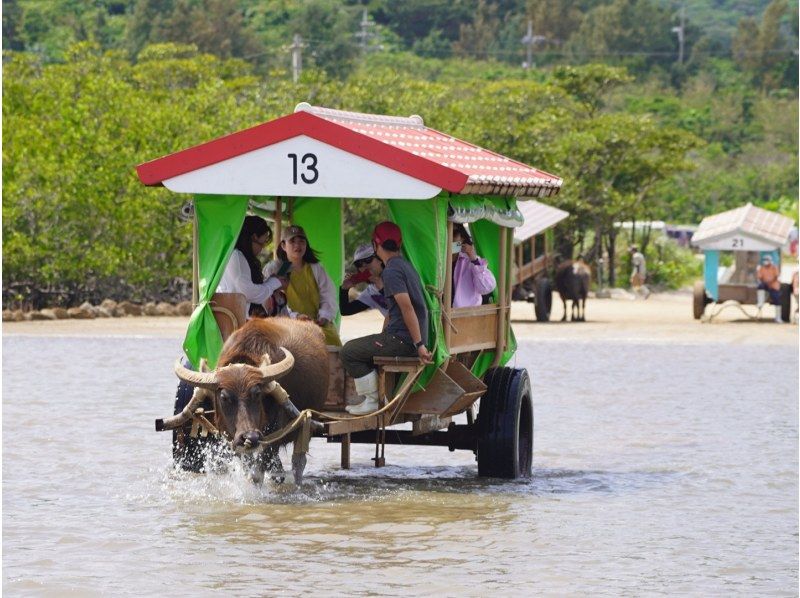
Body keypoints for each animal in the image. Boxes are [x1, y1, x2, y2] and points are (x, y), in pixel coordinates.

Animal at [164, 318, 326, 488]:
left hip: (306, 425)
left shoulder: (273, 436)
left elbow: (256, 474)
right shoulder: (233, 438)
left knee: (298, 462)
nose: (251, 437)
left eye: (257, 394)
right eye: (224, 397)